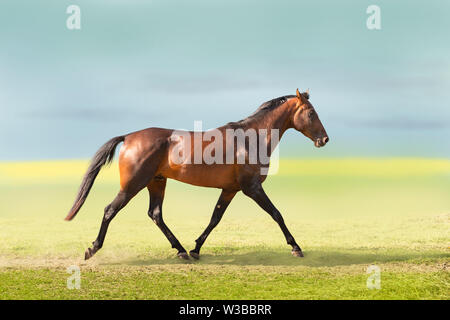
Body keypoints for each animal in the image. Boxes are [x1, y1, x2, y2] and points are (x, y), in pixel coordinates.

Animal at [65, 88, 328, 260]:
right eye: (311, 113)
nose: (324, 139)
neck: (249, 138)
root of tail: (129, 136)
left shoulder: (230, 189)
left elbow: (215, 218)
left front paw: (196, 249)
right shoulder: (252, 188)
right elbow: (277, 214)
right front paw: (295, 247)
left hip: (156, 183)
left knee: (155, 214)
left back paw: (181, 250)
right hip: (132, 185)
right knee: (110, 210)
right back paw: (92, 248)